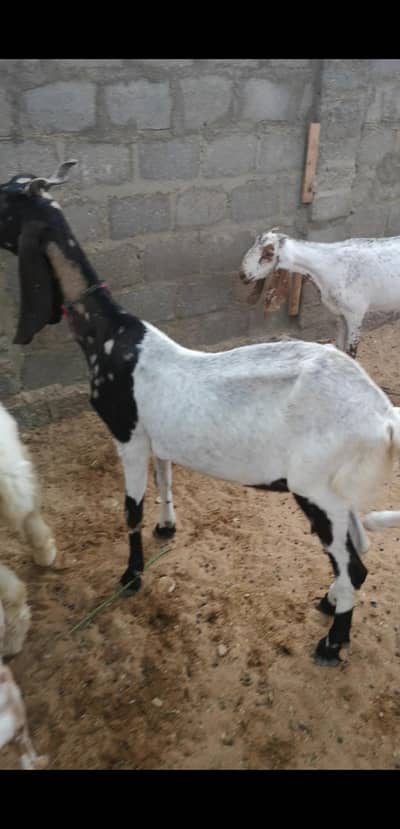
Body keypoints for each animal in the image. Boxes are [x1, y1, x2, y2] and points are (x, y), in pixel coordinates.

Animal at [240, 229, 400, 358]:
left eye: (268, 253)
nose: (242, 275)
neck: (329, 265)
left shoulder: (355, 313)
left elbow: (351, 352)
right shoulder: (340, 313)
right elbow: (340, 347)